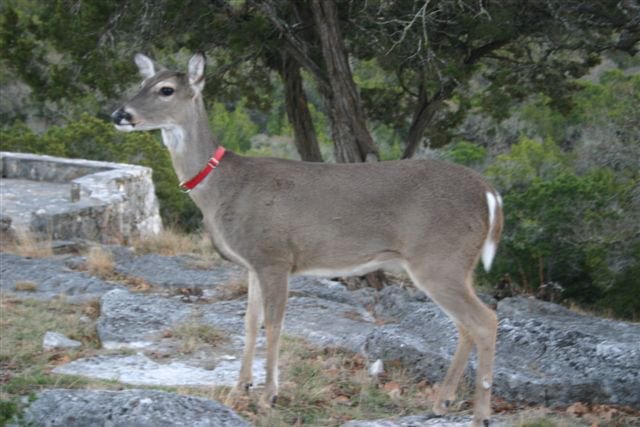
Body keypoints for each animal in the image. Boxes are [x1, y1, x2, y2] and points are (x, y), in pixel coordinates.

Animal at [112, 53, 503, 427]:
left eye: (165, 89)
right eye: (140, 83)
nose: (119, 114)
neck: (222, 187)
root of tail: (490, 193)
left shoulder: (275, 256)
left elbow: (274, 324)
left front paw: (269, 395)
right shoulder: (253, 262)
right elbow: (249, 322)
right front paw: (240, 387)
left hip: (438, 259)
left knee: (485, 321)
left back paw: (480, 414)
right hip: (455, 264)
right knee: (465, 325)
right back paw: (442, 402)